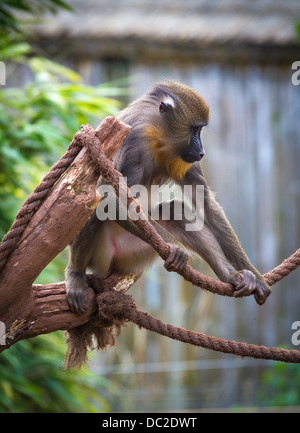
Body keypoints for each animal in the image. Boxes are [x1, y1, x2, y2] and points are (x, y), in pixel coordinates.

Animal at [66, 79, 272, 312]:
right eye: (195, 129)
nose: (202, 152)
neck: (154, 133)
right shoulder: (131, 141)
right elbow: (108, 199)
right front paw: (174, 248)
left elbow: (205, 203)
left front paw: (257, 279)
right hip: (102, 254)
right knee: (94, 209)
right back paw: (75, 274)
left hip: (135, 253)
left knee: (177, 210)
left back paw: (233, 276)